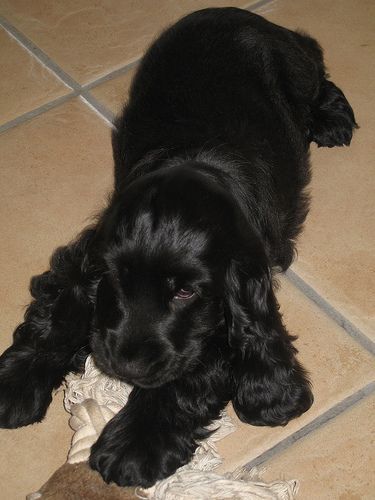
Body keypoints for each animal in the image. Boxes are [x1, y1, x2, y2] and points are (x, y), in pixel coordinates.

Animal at [0, 7, 358, 488]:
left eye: (186, 292)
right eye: (116, 279)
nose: (127, 368)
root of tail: (237, 12)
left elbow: (193, 370)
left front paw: (135, 444)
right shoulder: (86, 251)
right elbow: (60, 313)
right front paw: (15, 383)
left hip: (297, 68)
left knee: (319, 78)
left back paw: (333, 119)